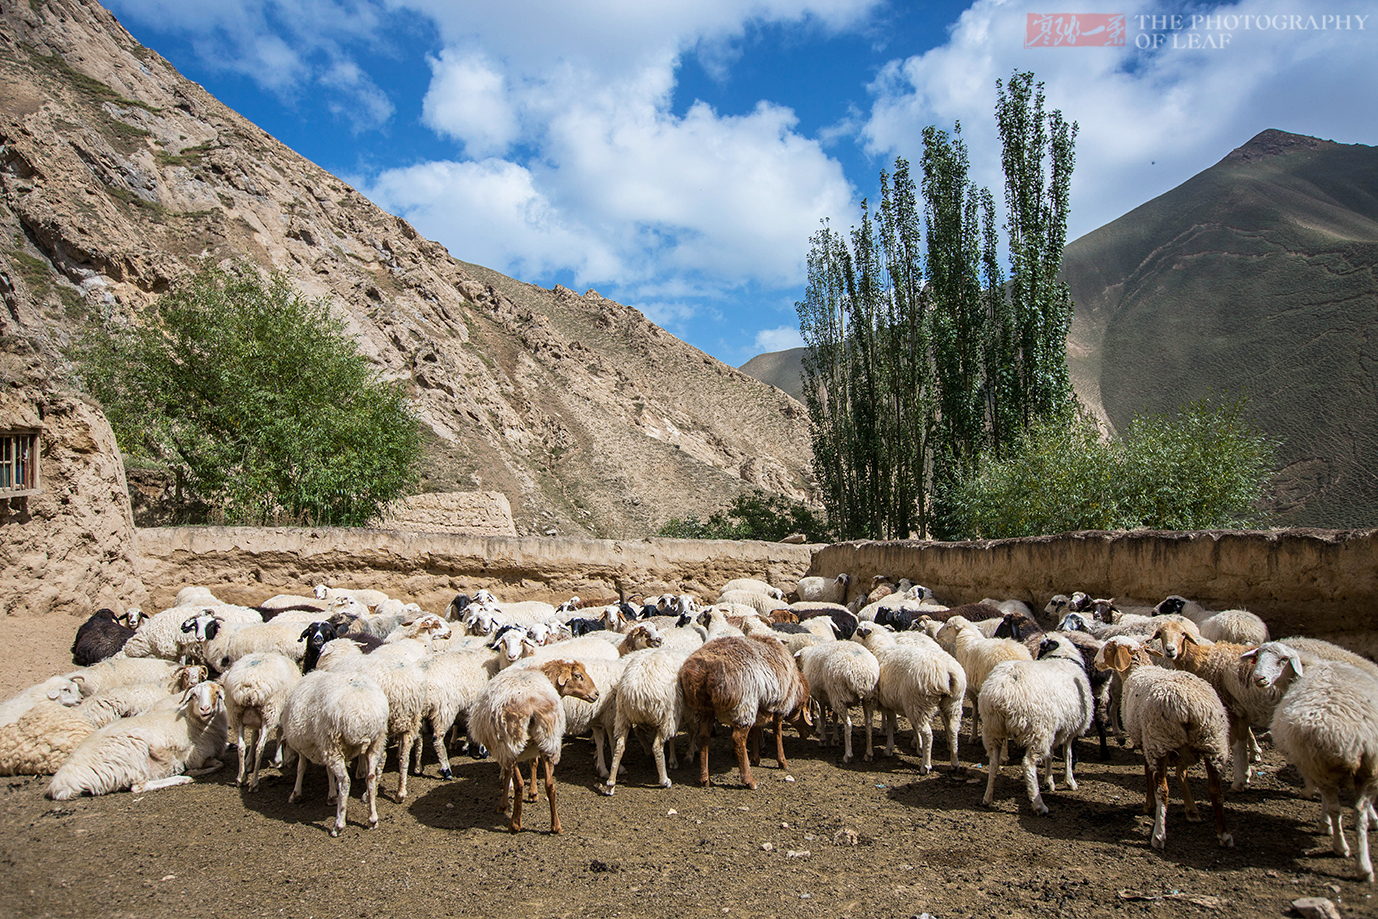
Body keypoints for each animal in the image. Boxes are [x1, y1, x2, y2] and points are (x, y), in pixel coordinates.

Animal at [46, 680, 228, 799]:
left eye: (216, 693)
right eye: (194, 695)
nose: (205, 709)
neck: (193, 722)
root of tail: (64, 779)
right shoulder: (196, 756)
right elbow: (217, 764)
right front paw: (192, 772)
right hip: (133, 752)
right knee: (139, 787)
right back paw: (182, 779)